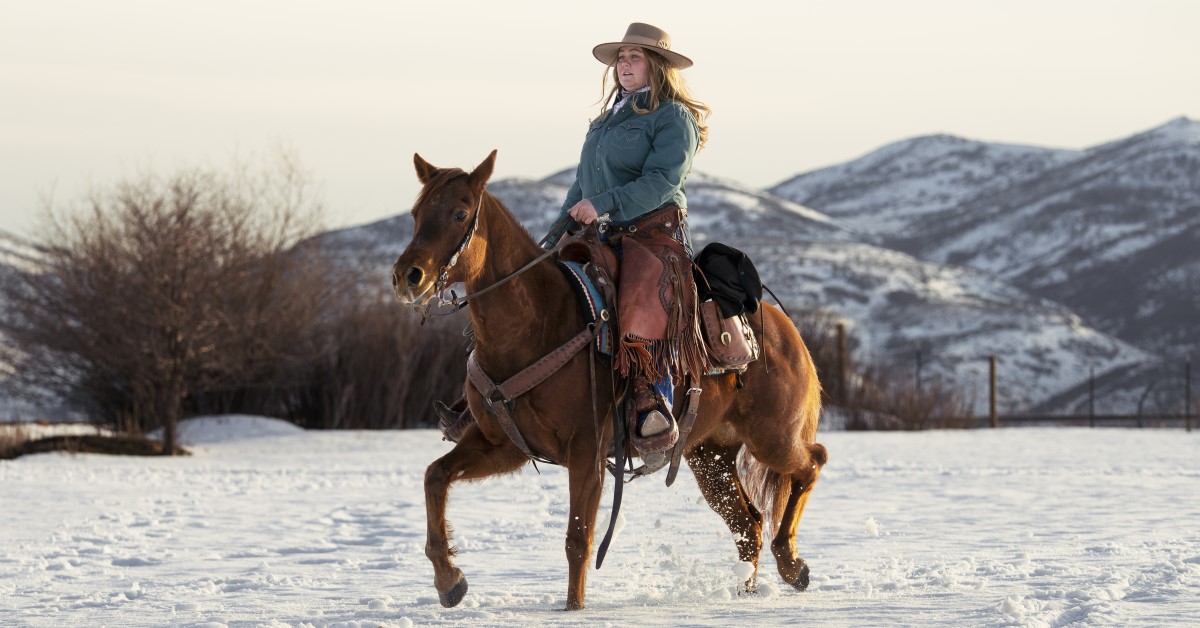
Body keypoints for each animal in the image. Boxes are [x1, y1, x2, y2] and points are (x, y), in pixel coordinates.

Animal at [391, 150, 825, 612]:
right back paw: (747, 591)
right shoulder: (504, 444)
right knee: (750, 524)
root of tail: (785, 330)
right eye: (416, 213)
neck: (538, 324)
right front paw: (448, 579)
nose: (407, 276)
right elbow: (434, 476)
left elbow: (578, 540)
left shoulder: (588, 452)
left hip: (772, 437)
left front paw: (573, 609)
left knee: (812, 462)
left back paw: (791, 564)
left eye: (460, 213)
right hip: (711, 456)